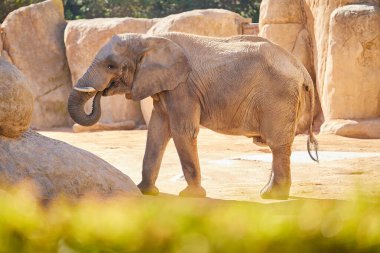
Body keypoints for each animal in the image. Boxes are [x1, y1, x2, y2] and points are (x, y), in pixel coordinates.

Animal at [67, 32, 318, 200]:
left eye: (111, 66)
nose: (101, 93)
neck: (148, 40)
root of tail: (301, 68)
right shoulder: (164, 86)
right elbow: (157, 131)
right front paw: (145, 191)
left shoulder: (183, 88)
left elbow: (182, 131)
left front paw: (191, 195)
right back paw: (268, 192)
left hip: (278, 96)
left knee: (277, 144)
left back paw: (272, 196)